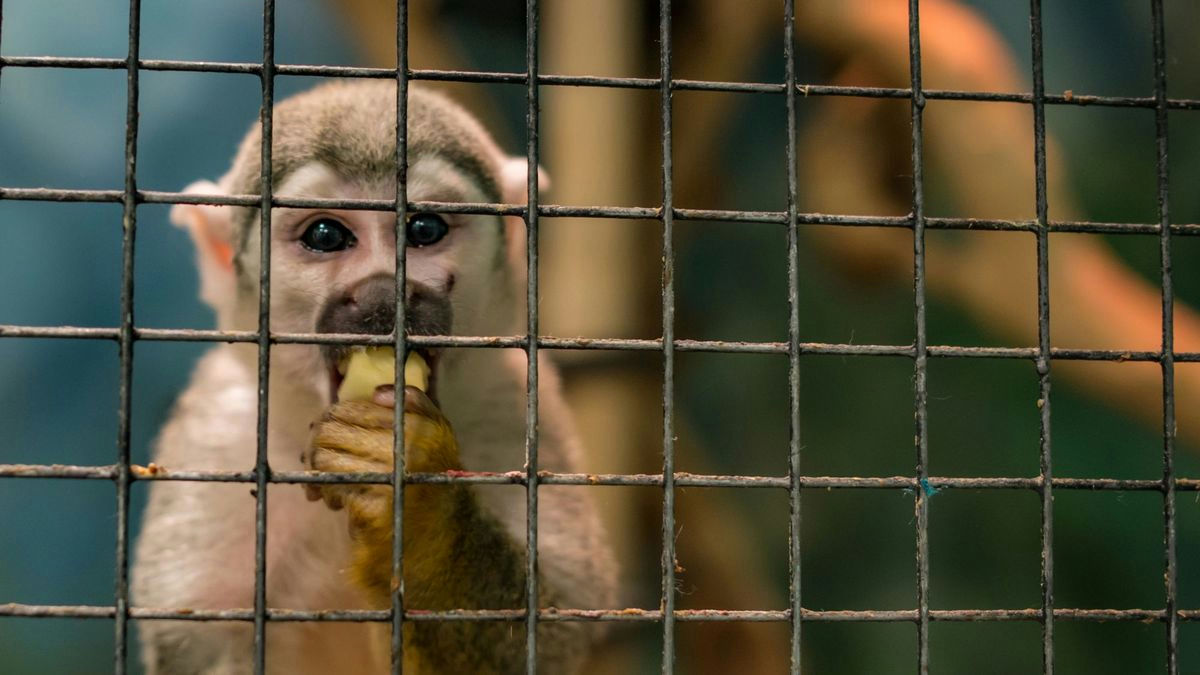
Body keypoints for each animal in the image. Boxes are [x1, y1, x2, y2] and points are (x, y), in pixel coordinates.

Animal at [131, 80, 616, 674]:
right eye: (325, 235)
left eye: (424, 229)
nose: (387, 293)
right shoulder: (219, 434)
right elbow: (199, 647)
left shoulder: (515, 404)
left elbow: (553, 632)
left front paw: (419, 507)